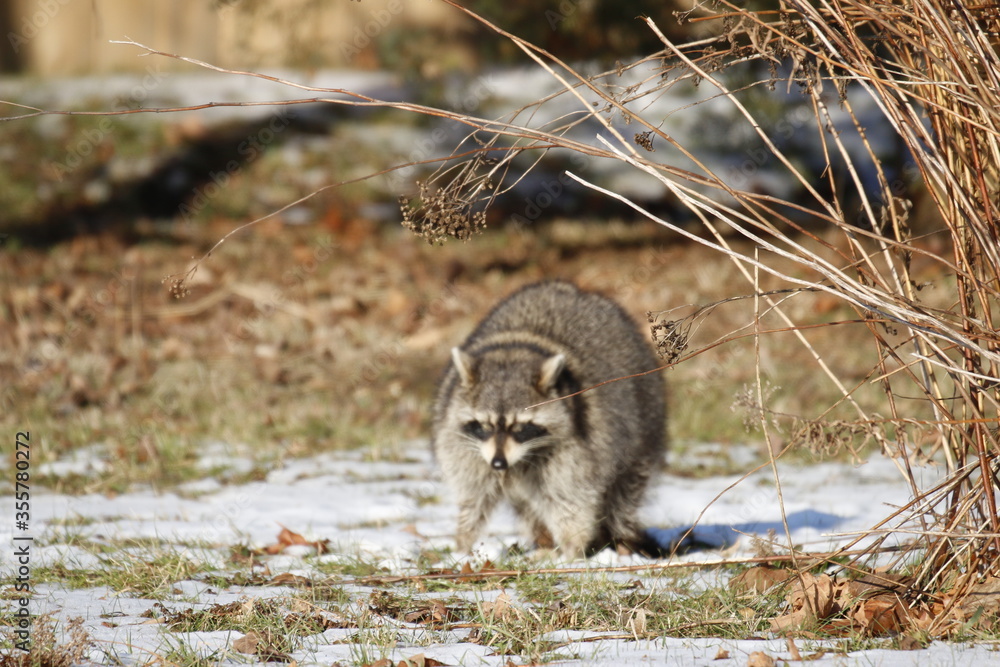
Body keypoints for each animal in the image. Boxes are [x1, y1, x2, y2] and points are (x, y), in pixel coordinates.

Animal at [431, 280, 667, 558]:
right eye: (484, 425)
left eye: (520, 427)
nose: (498, 464)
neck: (514, 348)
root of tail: (574, 289)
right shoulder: (461, 441)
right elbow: (474, 494)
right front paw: (464, 541)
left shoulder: (582, 442)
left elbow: (571, 497)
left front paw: (572, 549)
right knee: (527, 504)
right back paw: (543, 540)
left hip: (645, 418)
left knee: (625, 491)